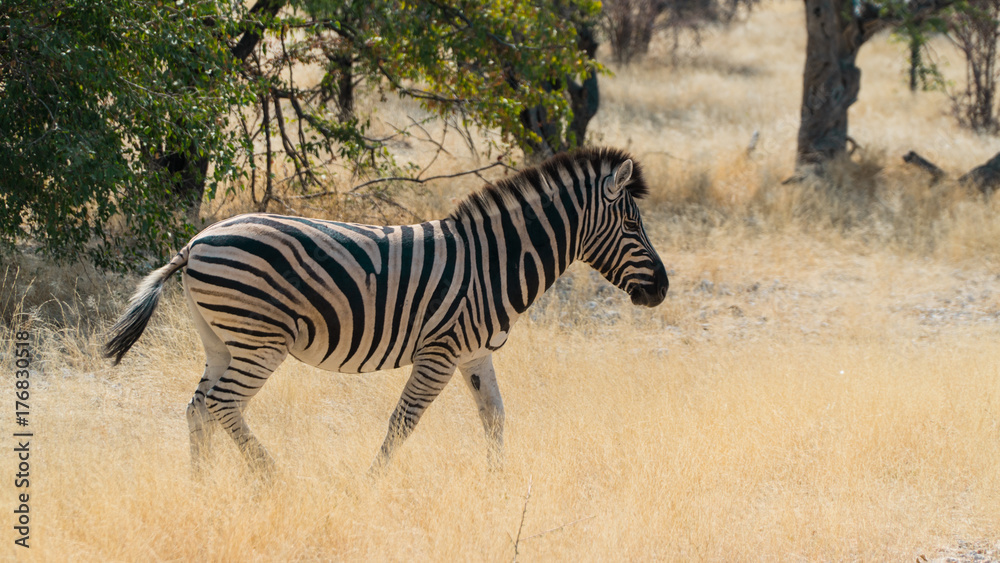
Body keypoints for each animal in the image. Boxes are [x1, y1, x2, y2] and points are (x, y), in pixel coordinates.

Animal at [104, 147, 669, 476]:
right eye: (632, 226)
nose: (662, 290)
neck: (493, 263)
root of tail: (196, 242)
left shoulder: (475, 355)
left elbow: (494, 418)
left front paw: (499, 487)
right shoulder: (441, 353)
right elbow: (403, 422)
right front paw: (372, 484)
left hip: (221, 340)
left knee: (198, 409)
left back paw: (202, 489)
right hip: (260, 340)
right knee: (223, 405)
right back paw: (274, 479)